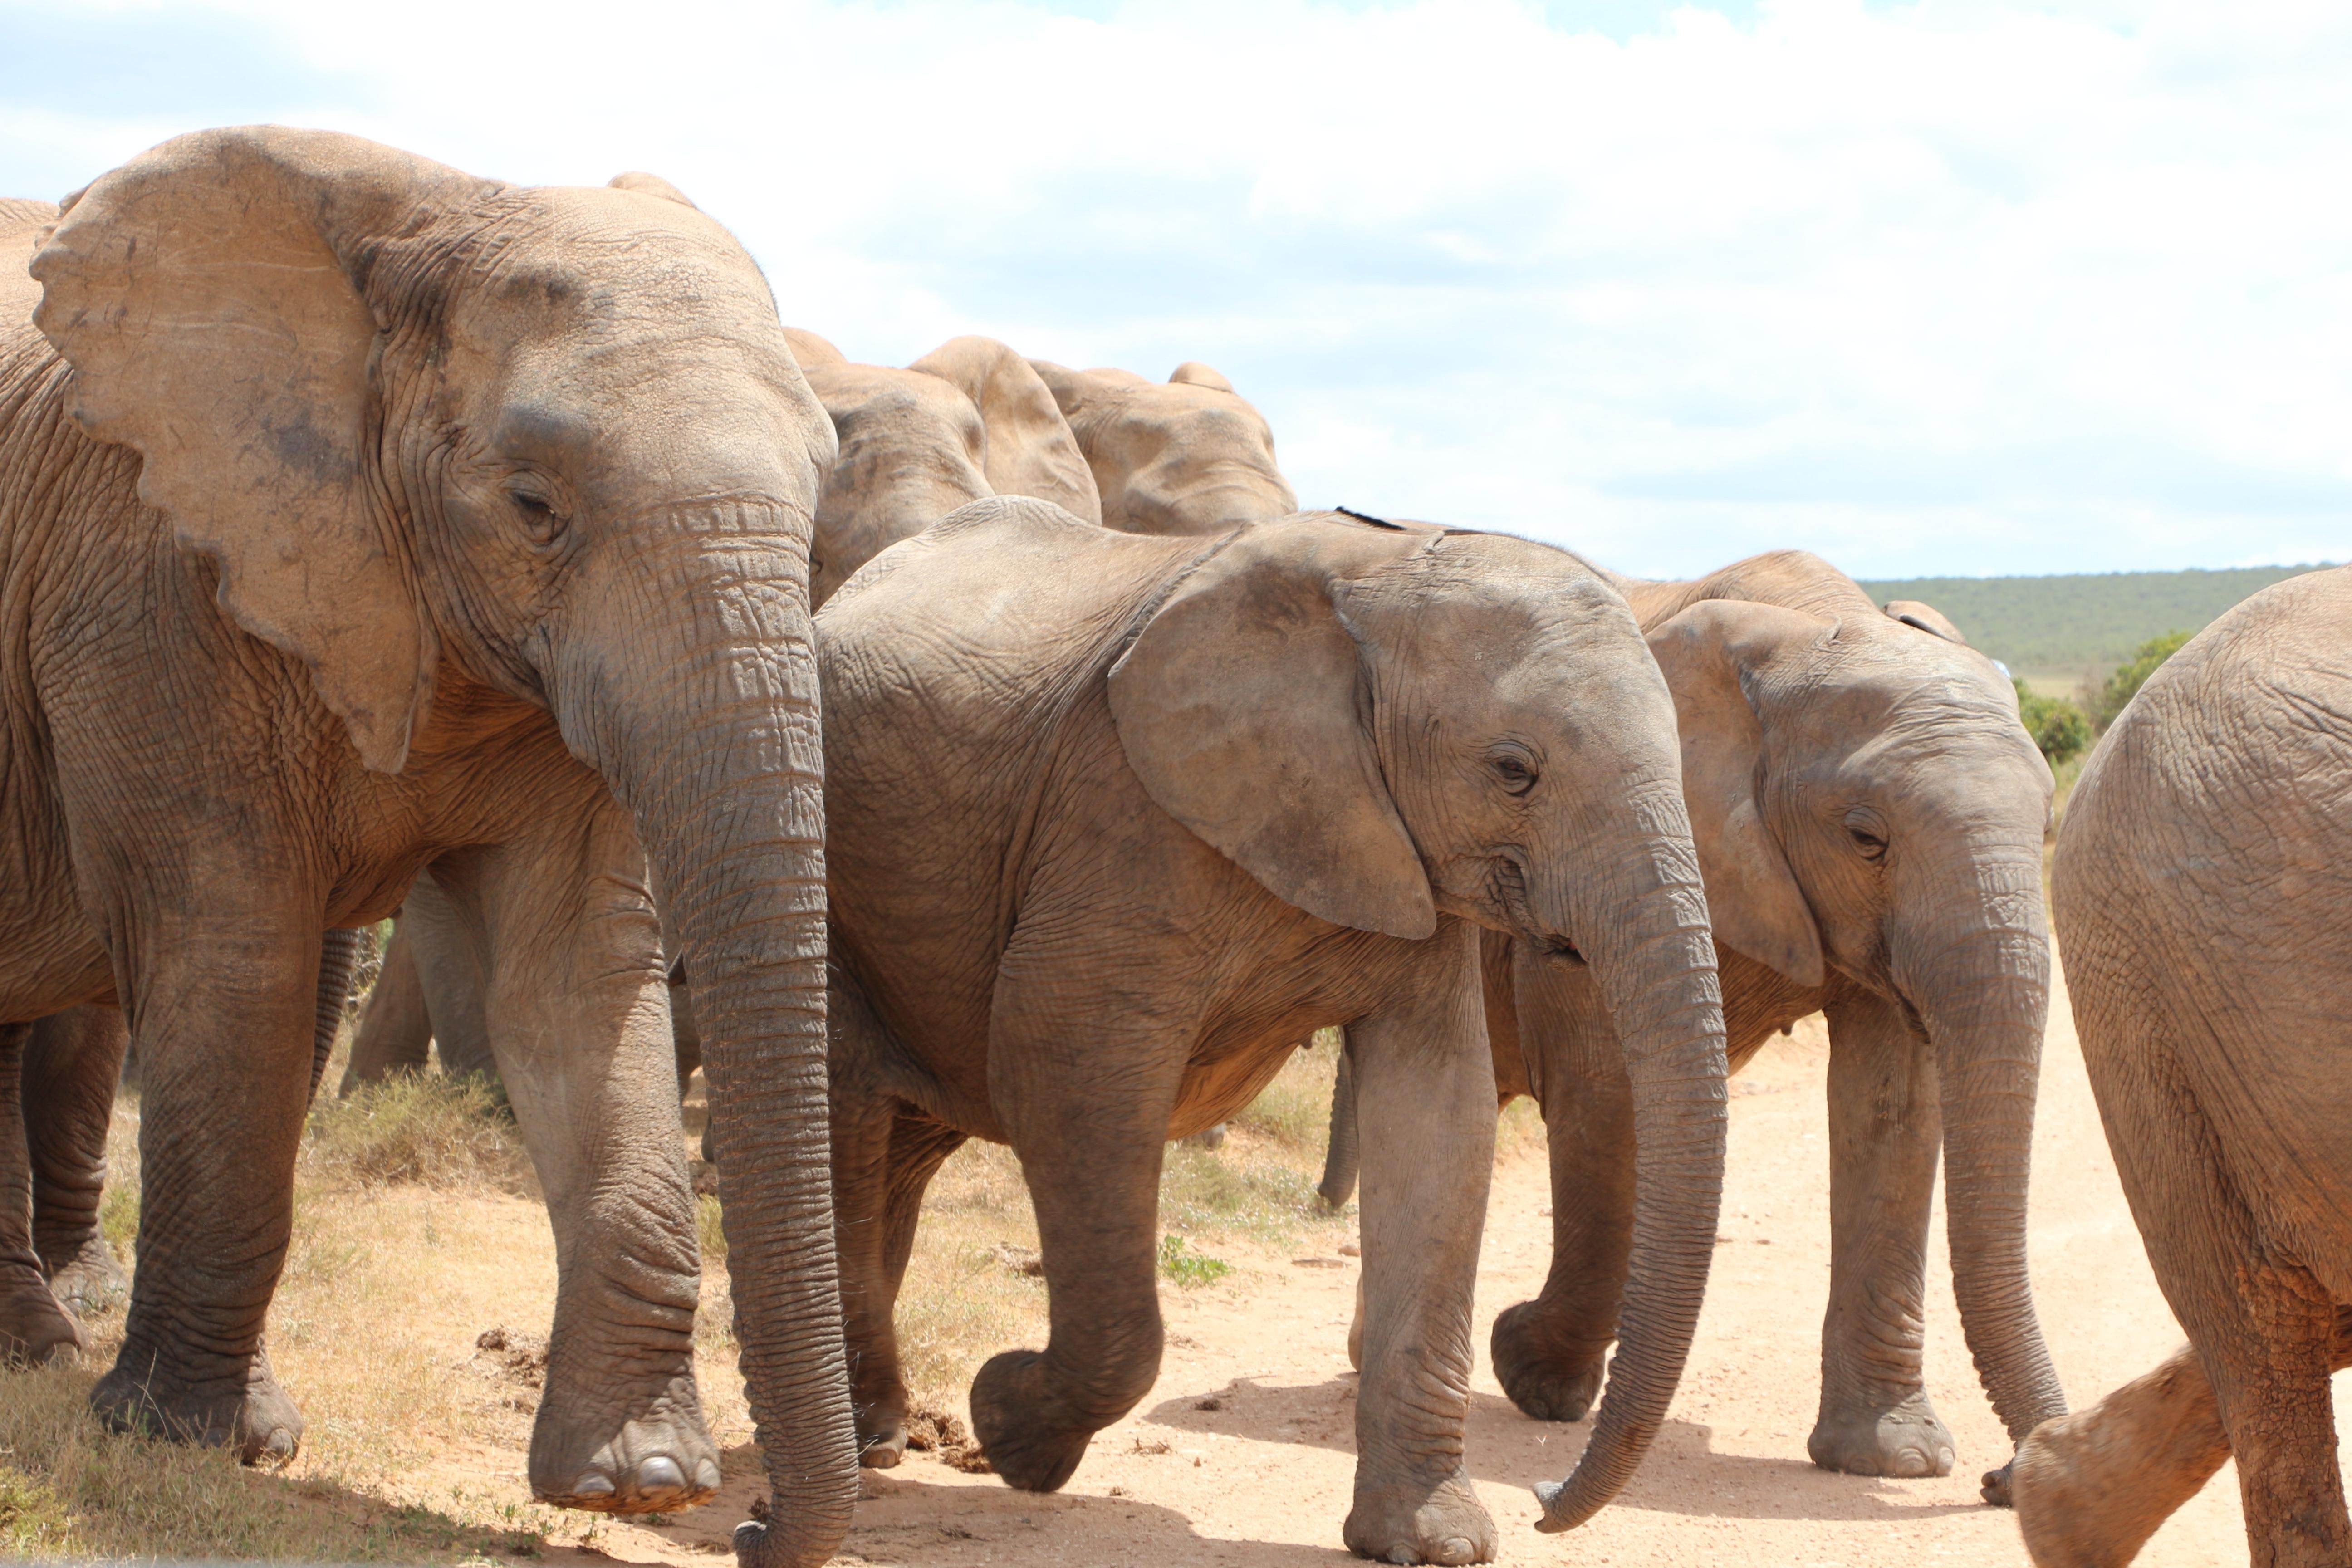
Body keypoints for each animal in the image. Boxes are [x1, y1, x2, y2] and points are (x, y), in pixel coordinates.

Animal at [0, 129, 855, 1560]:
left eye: (820, 494)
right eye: (532, 504)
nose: (752, 1525)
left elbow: (570, 982)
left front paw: (635, 1479)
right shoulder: (149, 581)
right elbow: (229, 967)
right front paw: (178, 1438)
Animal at [819, 497, 1732, 1562]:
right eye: (1515, 771)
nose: (1546, 1499)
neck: (1385, 572)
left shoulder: (1402, 861)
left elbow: (1439, 1110)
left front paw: (1430, 1539)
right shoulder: (1122, 818)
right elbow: (1063, 1061)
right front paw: (1009, 1428)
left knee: (903, 1147)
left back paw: (880, 1427)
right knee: (850, 1123)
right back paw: (874, 1441)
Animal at [1318, 550, 2068, 1486]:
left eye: (2048, 822)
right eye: (1866, 837)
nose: (2002, 1480)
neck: (1805, 633)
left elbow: (1892, 1105)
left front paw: (1890, 1460)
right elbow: (1604, 1092)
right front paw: (1532, 1374)